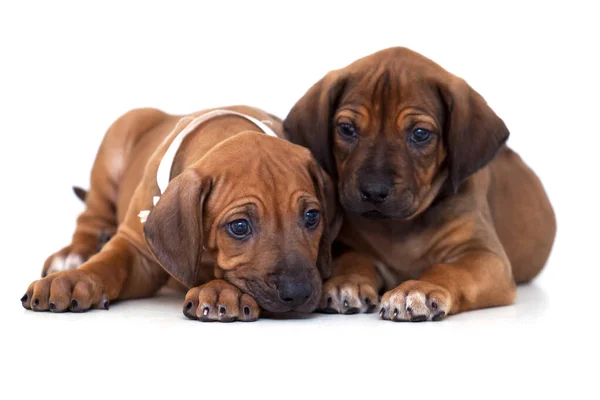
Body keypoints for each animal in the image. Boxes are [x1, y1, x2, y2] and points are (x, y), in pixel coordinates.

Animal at [21, 105, 340, 322]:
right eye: (239, 226)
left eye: (311, 217)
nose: (298, 292)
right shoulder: (138, 251)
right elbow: (109, 263)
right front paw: (74, 279)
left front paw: (220, 290)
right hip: (113, 149)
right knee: (90, 217)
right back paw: (73, 257)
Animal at [284, 47, 556, 322]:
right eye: (346, 129)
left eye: (420, 134)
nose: (373, 191)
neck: (399, 227)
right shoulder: (343, 243)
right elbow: (352, 258)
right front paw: (346, 281)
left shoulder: (485, 254)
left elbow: (449, 269)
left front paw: (419, 288)